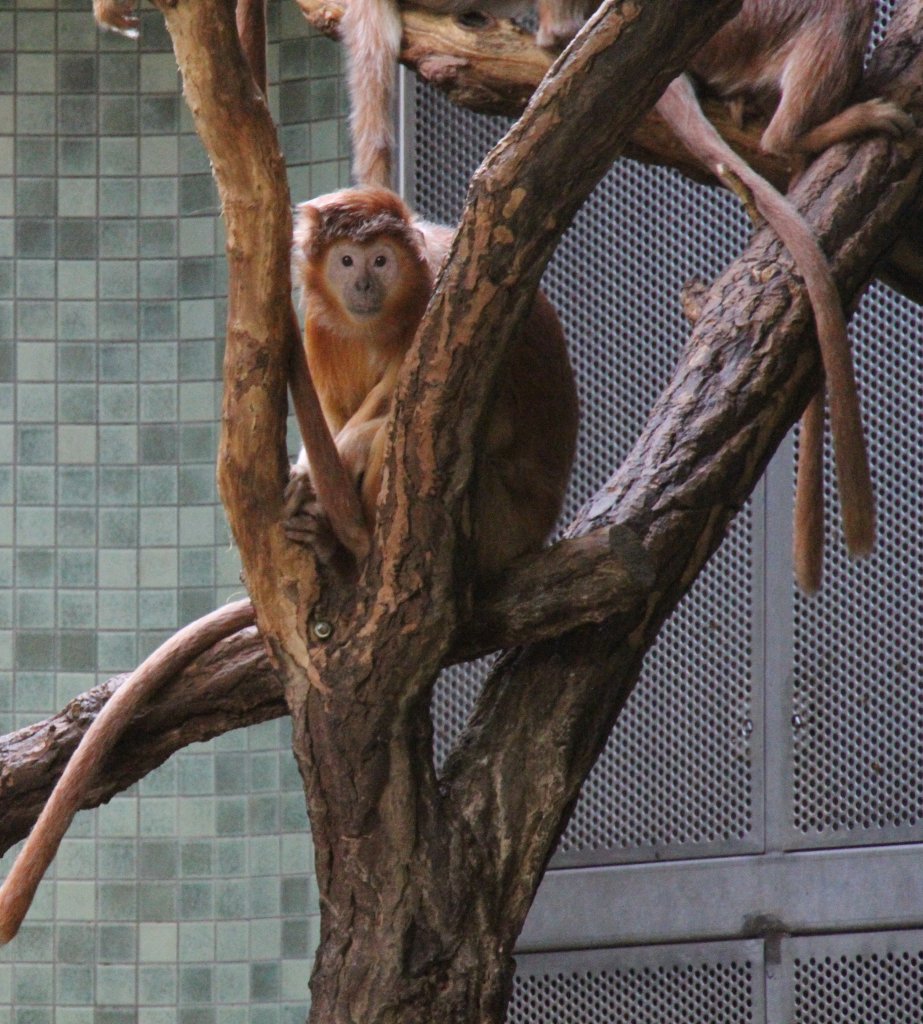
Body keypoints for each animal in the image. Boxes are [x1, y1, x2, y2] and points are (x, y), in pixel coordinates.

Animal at [284, 184, 581, 577]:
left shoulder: (433, 294)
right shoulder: (321, 327)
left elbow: (498, 425)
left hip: (505, 525)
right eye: (346, 261)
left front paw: (341, 454)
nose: (363, 285)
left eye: (381, 261)